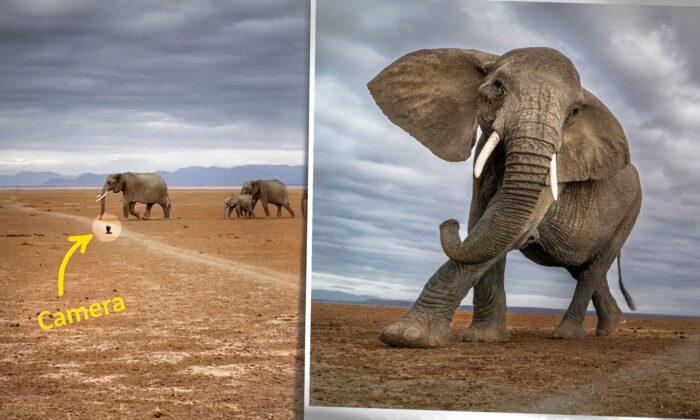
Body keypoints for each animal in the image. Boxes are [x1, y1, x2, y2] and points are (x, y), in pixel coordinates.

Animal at [370, 46, 644, 348]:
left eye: (573, 112)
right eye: (498, 86)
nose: (448, 223)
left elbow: (499, 229)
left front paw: (406, 336)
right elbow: (480, 224)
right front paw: (483, 338)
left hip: (631, 213)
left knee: (592, 270)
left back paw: (567, 335)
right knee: (584, 267)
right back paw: (612, 328)